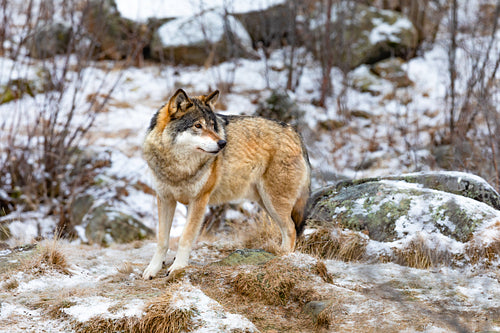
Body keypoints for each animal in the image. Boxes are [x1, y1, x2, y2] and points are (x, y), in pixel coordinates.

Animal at [143, 87, 310, 278]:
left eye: (213, 126)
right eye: (198, 126)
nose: (222, 143)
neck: (178, 168)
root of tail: (295, 132)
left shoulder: (199, 201)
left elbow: (185, 238)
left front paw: (178, 267)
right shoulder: (165, 199)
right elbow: (162, 239)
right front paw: (153, 269)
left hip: (274, 203)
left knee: (291, 229)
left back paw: (284, 258)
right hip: (266, 204)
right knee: (287, 229)